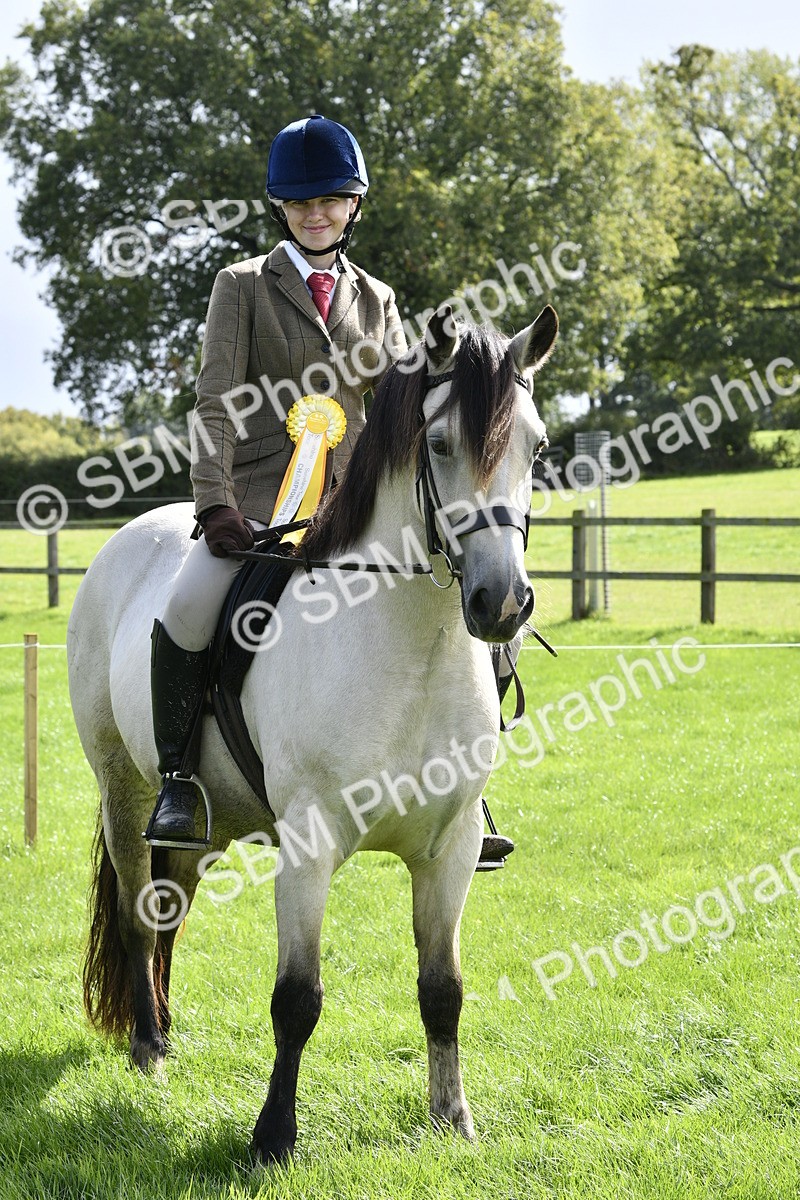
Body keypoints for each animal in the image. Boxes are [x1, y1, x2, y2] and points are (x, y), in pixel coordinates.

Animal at [67, 303, 557, 1163]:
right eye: (439, 445)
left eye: (537, 446)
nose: (502, 603)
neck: (411, 642)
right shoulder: (309, 843)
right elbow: (297, 998)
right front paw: (272, 1137)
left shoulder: (452, 847)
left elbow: (444, 989)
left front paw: (453, 1120)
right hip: (122, 789)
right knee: (136, 912)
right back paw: (149, 1046)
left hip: (208, 821)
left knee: (168, 906)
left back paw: (165, 1027)